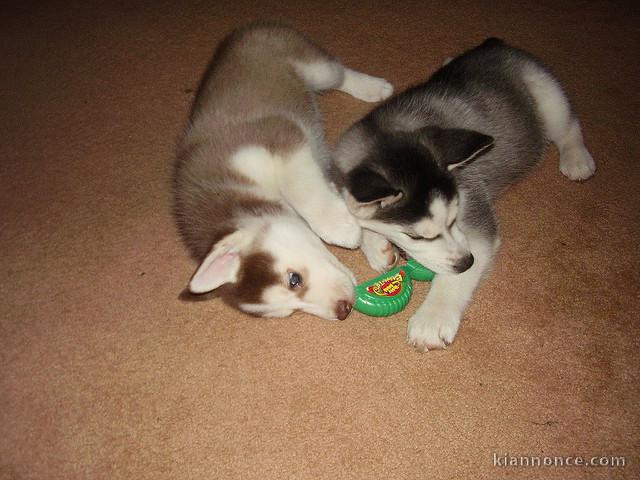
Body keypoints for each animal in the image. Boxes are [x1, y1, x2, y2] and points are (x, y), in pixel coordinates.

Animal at [175, 24, 396, 320]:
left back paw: (373, 87)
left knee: (338, 74)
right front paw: (371, 240)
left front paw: (342, 229)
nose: (343, 311)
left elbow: (304, 190)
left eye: (294, 279)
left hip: (314, 66)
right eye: (290, 312)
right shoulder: (318, 167)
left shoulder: (282, 140)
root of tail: (239, 32)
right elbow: (344, 198)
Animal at [336, 37, 596, 346]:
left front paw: (432, 318)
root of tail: (496, 44)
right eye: (416, 237)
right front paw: (377, 246)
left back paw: (576, 158)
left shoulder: (474, 211)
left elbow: (458, 272)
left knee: (569, 125)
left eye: (453, 220)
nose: (466, 262)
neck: (383, 133)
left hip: (547, 94)